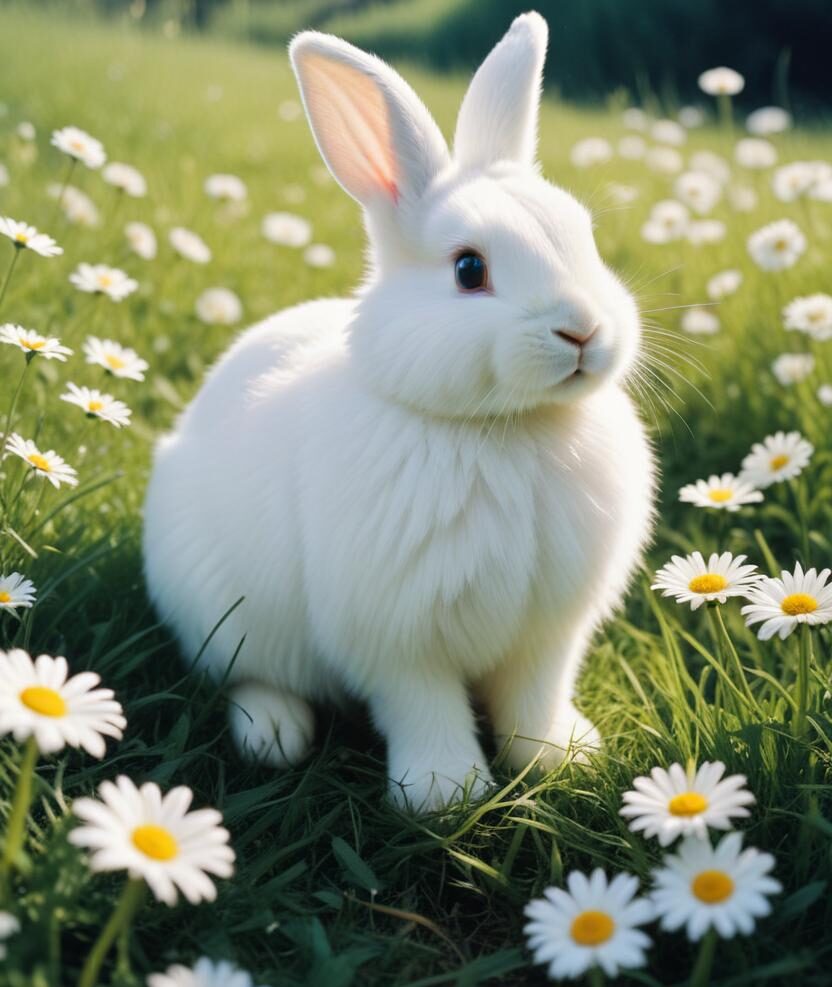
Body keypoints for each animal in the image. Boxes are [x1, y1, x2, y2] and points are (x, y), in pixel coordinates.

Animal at [142, 10, 655, 812]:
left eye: (585, 237)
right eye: (470, 269)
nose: (584, 330)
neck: (506, 428)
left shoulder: (548, 633)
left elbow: (534, 698)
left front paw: (562, 760)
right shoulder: (398, 638)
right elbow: (423, 708)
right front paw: (446, 793)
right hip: (224, 616)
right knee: (251, 676)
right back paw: (274, 736)